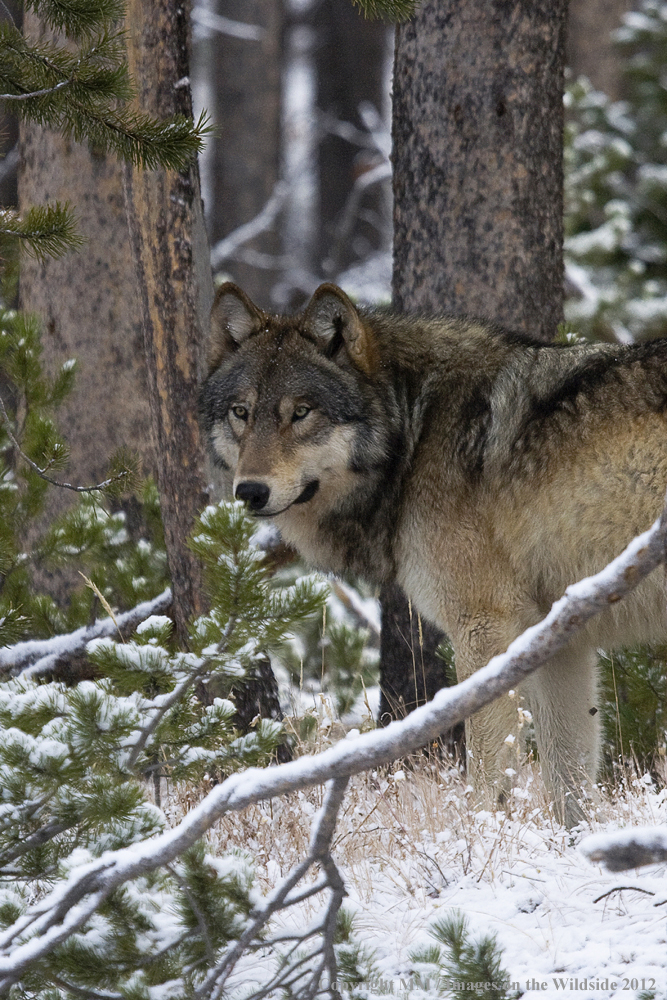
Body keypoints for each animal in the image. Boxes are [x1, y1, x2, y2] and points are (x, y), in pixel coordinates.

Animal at [201, 281, 667, 826]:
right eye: (241, 413)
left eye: (301, 412)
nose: (249, 491)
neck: (414, 434)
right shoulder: (560, 639)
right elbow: (569, 784)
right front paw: (580, 842)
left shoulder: (485, 628)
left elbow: (484, 775)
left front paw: (478, 838)